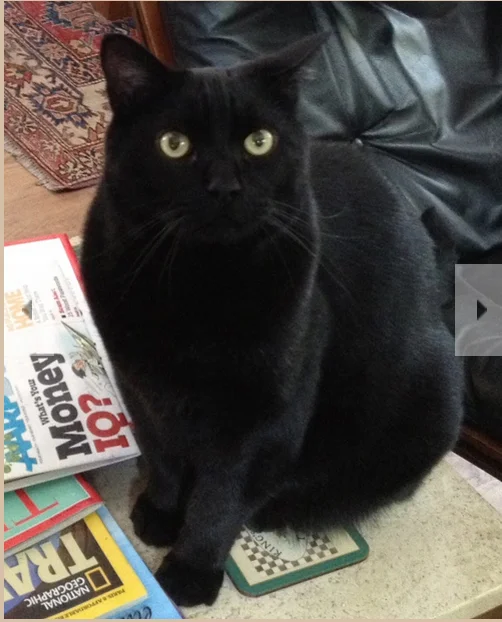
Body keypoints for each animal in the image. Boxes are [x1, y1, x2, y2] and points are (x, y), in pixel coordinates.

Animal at [81, 33, 463, 607]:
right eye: (174, 144)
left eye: (259, 142)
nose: (224, 186)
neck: (196, 286)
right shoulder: (141, 387)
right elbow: (163, 454)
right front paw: (161, 512)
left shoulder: (261, 414)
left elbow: (221, 498)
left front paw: (191, 570)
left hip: (429, 393)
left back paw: (278, 506)